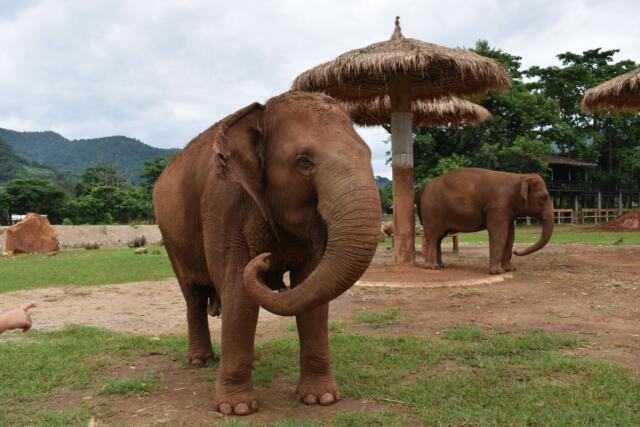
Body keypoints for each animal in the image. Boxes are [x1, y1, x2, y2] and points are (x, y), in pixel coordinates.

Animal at [153, 91, 381, 415]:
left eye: (369, 155)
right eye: (304, 161)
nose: (264, 261)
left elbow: (310, 286)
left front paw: (321, 398)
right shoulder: (223, 202)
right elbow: (238, 288)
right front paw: (237, 408)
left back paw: (252, 361)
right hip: (170, 235)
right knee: (193, 295)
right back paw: (200, 359)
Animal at [418, 168, 553, 274]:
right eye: (544, 197)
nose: (516, 251)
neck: (520, 176)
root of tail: (423, 187)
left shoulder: (506, 210)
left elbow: (510, 235)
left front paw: (510, 269)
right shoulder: (498, 207)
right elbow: (499, 233)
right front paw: (497, 272)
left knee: (439, 238)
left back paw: (441, 266)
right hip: (431, 210)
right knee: (433, 236)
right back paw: (432, 267)